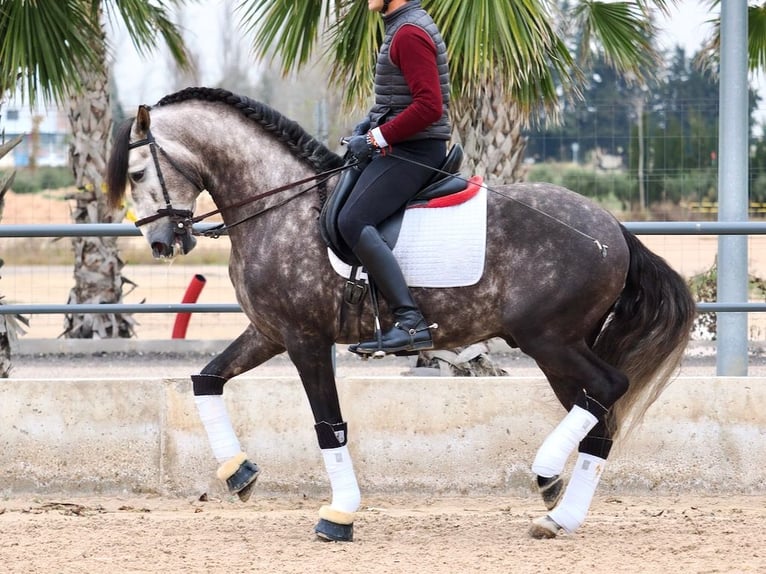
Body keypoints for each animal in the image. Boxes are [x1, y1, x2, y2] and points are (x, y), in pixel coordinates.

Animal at [105, 88, 700, 544]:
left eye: (136, 172)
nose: (160, 243)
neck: (277, 206)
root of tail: (614, 228)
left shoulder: (304, 339)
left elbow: (328, 426)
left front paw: (339, 516)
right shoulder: (268, 333)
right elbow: (205, 380)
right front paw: (239, 473)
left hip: (550, 339)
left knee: (610, 387)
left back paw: (547, 473)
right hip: (560, 349)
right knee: (601, 413)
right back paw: (559, 515)